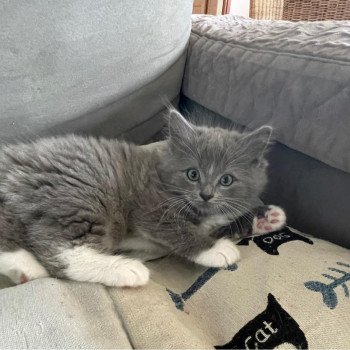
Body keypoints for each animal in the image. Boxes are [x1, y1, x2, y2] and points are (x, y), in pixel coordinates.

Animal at [0, 110, 284, 288]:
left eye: (226, 180)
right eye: (193, 174)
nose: (206, 194)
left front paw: (267, 217)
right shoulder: (149, 205)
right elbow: (176, 229)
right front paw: (215, 249)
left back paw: (24, 269)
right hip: (80, 189)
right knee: (58, 250)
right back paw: (125, 269)